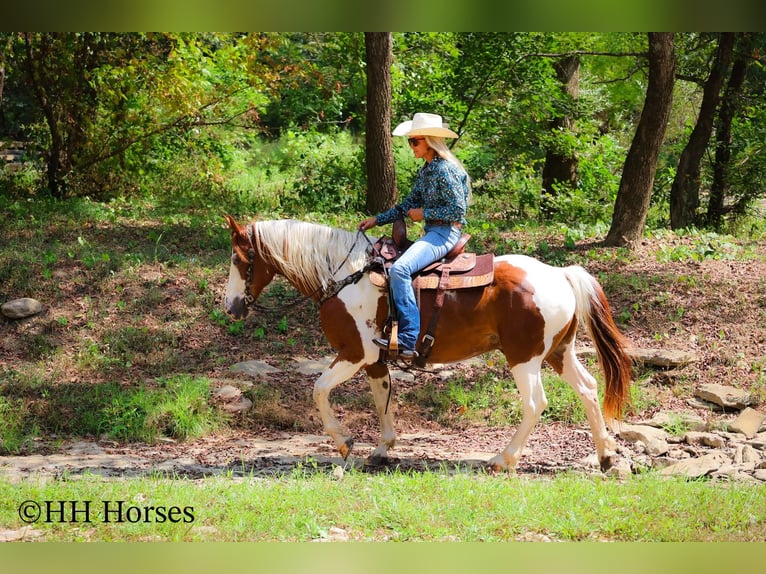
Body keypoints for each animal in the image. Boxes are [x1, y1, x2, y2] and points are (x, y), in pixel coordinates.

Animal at [223, 215, 633, 472]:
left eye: (239, 259)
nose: (231, 307)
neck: (344, 275)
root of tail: (561, 274)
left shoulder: (355, 352)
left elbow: (319, 389)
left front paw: (343, 441)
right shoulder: (375, 359)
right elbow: (382, 398)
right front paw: (382, 449)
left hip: (524, 357)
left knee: (535, 403)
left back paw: (504, 459)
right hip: (558, 352)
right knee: (589, 388)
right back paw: (606, 457)